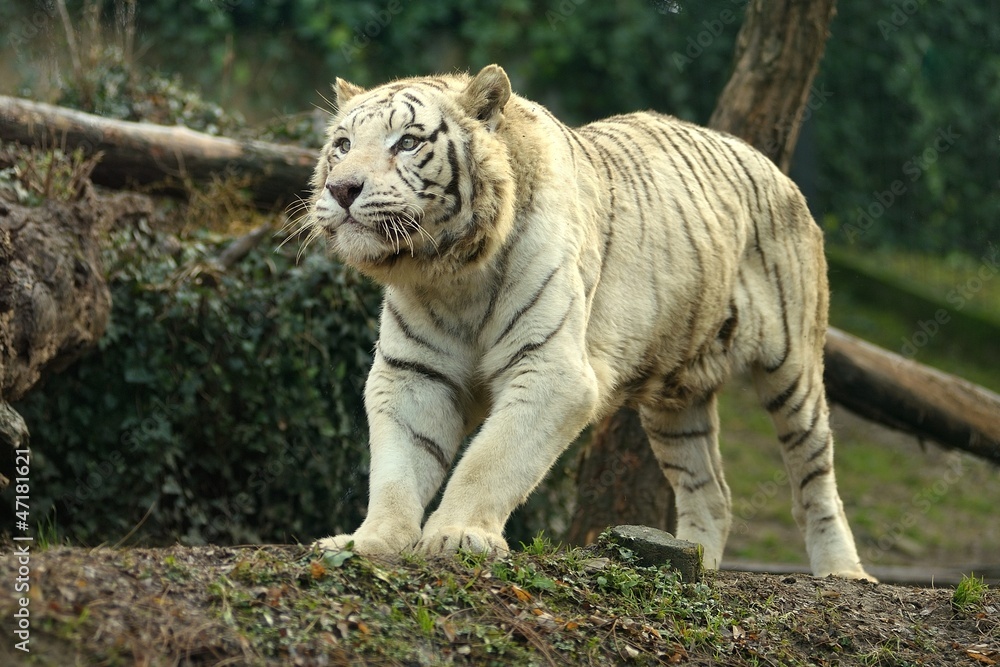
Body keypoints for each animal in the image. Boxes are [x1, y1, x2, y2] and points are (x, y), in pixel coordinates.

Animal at [304, 64, 873, 580]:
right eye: (343, 144)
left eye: (407, 142)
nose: (342, 188)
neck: (450, 274)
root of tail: (773, 167)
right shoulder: (413, 374)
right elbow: (398, 467)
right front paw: (369, 541)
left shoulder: (552, 370)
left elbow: (491, 459)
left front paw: (458, 535)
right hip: (676, 396)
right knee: (712, 492)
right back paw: (695, 566)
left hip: (793, 366)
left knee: (815, 477)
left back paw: (844, 574)